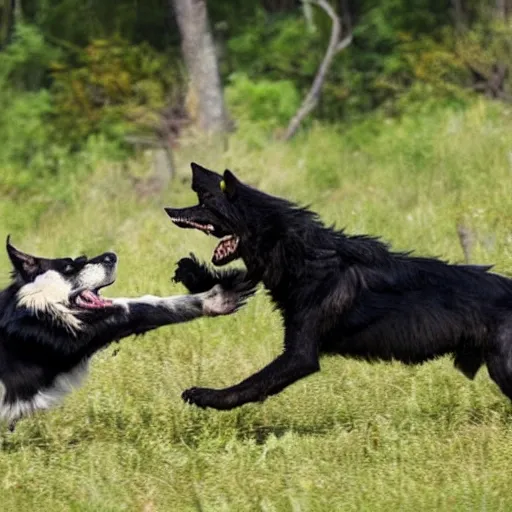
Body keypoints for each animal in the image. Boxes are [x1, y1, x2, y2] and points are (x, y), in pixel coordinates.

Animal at [0, 237, 252, 428]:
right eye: (69, 267)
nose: (112, 255)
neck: (30, 306)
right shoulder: (76, 333)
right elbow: (145, 307)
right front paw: (218, 297)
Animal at [167, 164, 512, 412]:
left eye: (205, 202)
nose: (170, 211)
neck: (300, 252)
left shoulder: (301, 355)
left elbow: (252, 384)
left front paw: (206, 396)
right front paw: (192, 273)